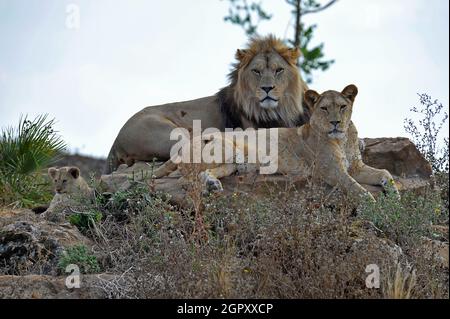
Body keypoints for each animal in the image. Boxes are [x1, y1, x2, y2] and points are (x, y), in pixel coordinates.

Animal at [105, 35, 310, 174]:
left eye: (279, 70)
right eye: (256, 71)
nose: (267, 88)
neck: (278, 110)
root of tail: (115, 141)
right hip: (178, 135)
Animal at [154, 83, 398, 202]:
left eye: (342, 106)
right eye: (324, 108)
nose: (336, 122)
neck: (342, 138)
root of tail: (183, 146)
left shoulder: (355, 166)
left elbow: (384, 172)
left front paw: (393, 193)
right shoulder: (331, 170)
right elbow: (352, 185)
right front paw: (370, 201)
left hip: (231, 163)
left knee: (202, 175)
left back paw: (213, 185)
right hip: (225, 147)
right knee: (185, 180)